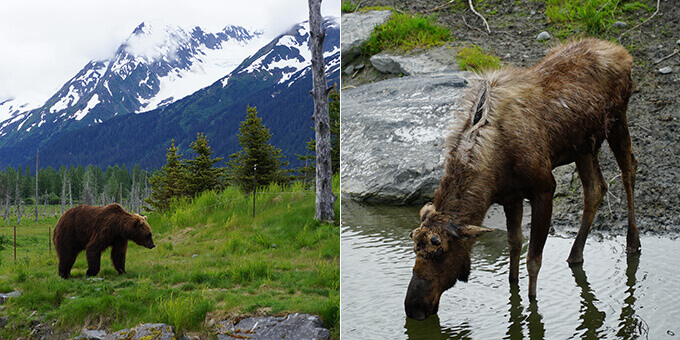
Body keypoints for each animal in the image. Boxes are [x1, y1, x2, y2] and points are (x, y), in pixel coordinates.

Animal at [406, 38, 640, 320]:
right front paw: (513, 295)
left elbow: (533, 259)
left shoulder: (544, 188)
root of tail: (623, 53)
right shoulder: (511, 196)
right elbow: (515, 246)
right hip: (584, 146)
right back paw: (575, 255)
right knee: (596, 188)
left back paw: (633, 243)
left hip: (617, 121)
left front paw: (532, 306)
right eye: (415, 249)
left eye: (440, 252)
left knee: (629, 169)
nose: (414, 307)